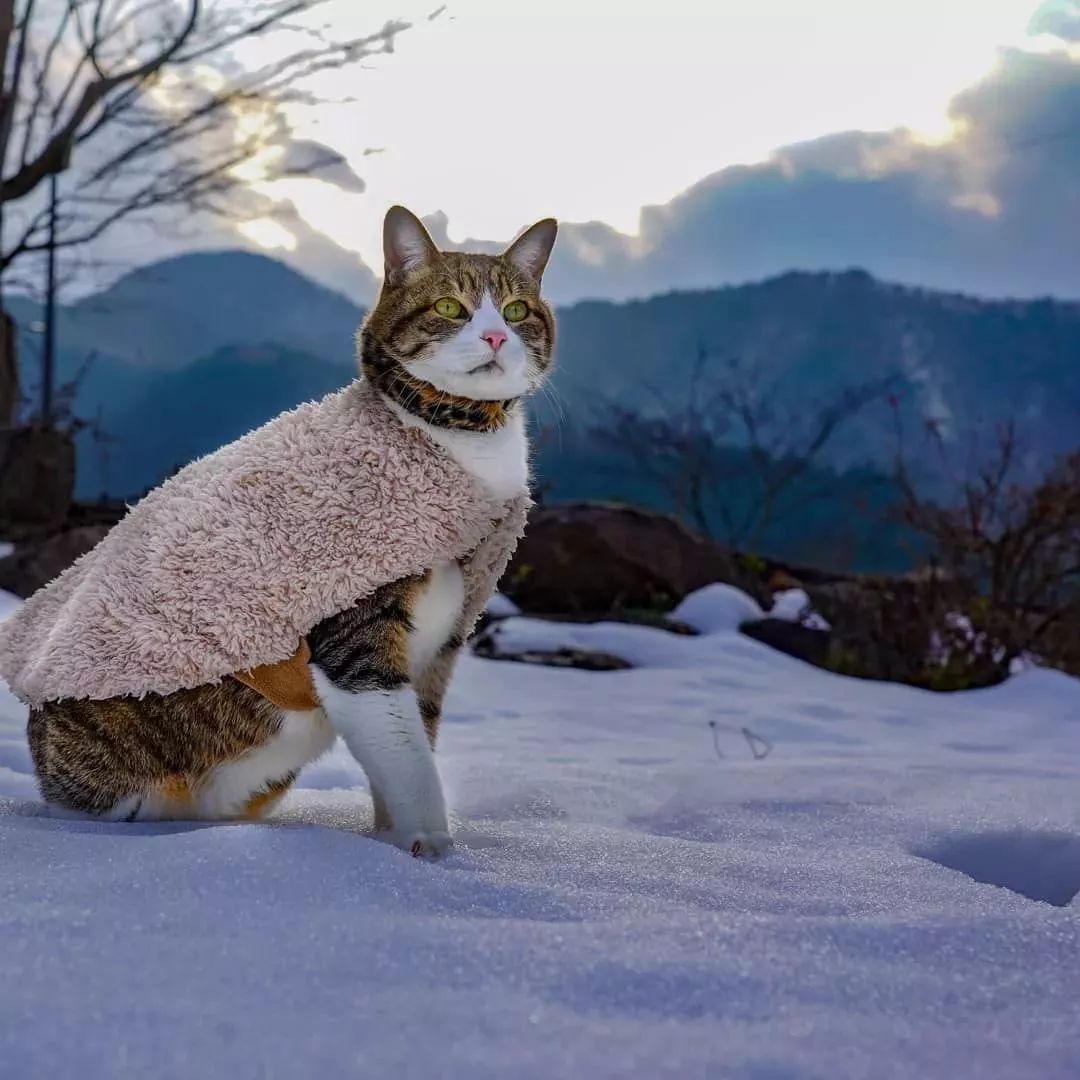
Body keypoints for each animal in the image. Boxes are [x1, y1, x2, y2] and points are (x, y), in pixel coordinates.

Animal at [25, 204, 557, 859]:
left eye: (517, 310)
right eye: (449, 307)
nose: (495, 337)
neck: (455, 435)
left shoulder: (446, 641)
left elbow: (418, 736)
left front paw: (390, 842)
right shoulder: (355, 634)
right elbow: (405, 753)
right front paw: (429, 851)